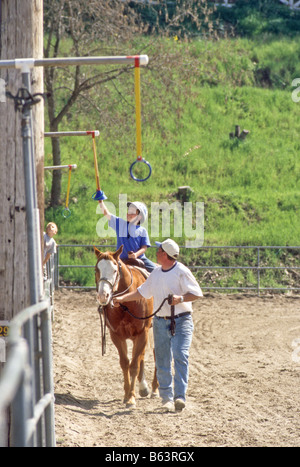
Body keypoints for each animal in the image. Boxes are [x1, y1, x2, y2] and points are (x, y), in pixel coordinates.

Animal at [95, 247, 158, 408]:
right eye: (96, 269)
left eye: (115, 270)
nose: (103, 295)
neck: (126, 303)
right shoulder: (116, 335)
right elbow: (125, 363)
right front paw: (126, 394)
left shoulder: (142, 333)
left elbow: (134, 365)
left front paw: (131, 398)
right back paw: (144, 388)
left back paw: (155, 388)